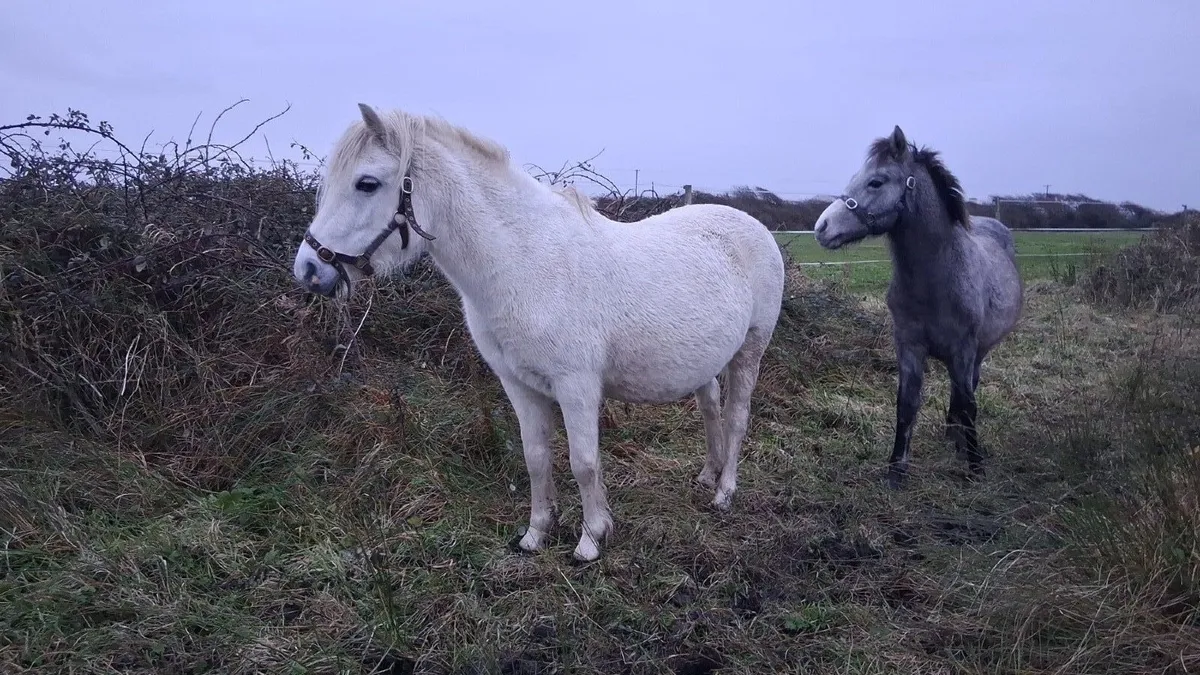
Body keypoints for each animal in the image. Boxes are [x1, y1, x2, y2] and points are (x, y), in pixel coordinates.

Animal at [292, 103, 786, 562]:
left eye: (367, 183)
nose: (309, 270)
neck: (526, 262)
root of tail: (752, 225)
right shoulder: (519, 386)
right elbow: (536, 459)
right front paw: (536, 534)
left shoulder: (576, 386)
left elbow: (584, 463)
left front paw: (591, 539)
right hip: (705, 362)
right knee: (710, 408)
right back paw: (707, 475)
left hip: (751, 349)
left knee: (737, 417)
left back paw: (724, 491)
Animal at [813, 125, 1023, 489]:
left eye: (876, 182)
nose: (822, 228)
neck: (938, 278)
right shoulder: (908, 345)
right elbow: (907, 404)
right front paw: (896, 470)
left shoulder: (963, 348)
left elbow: (969, 404)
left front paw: (975, 467)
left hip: (978, 351)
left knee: (968, 389)